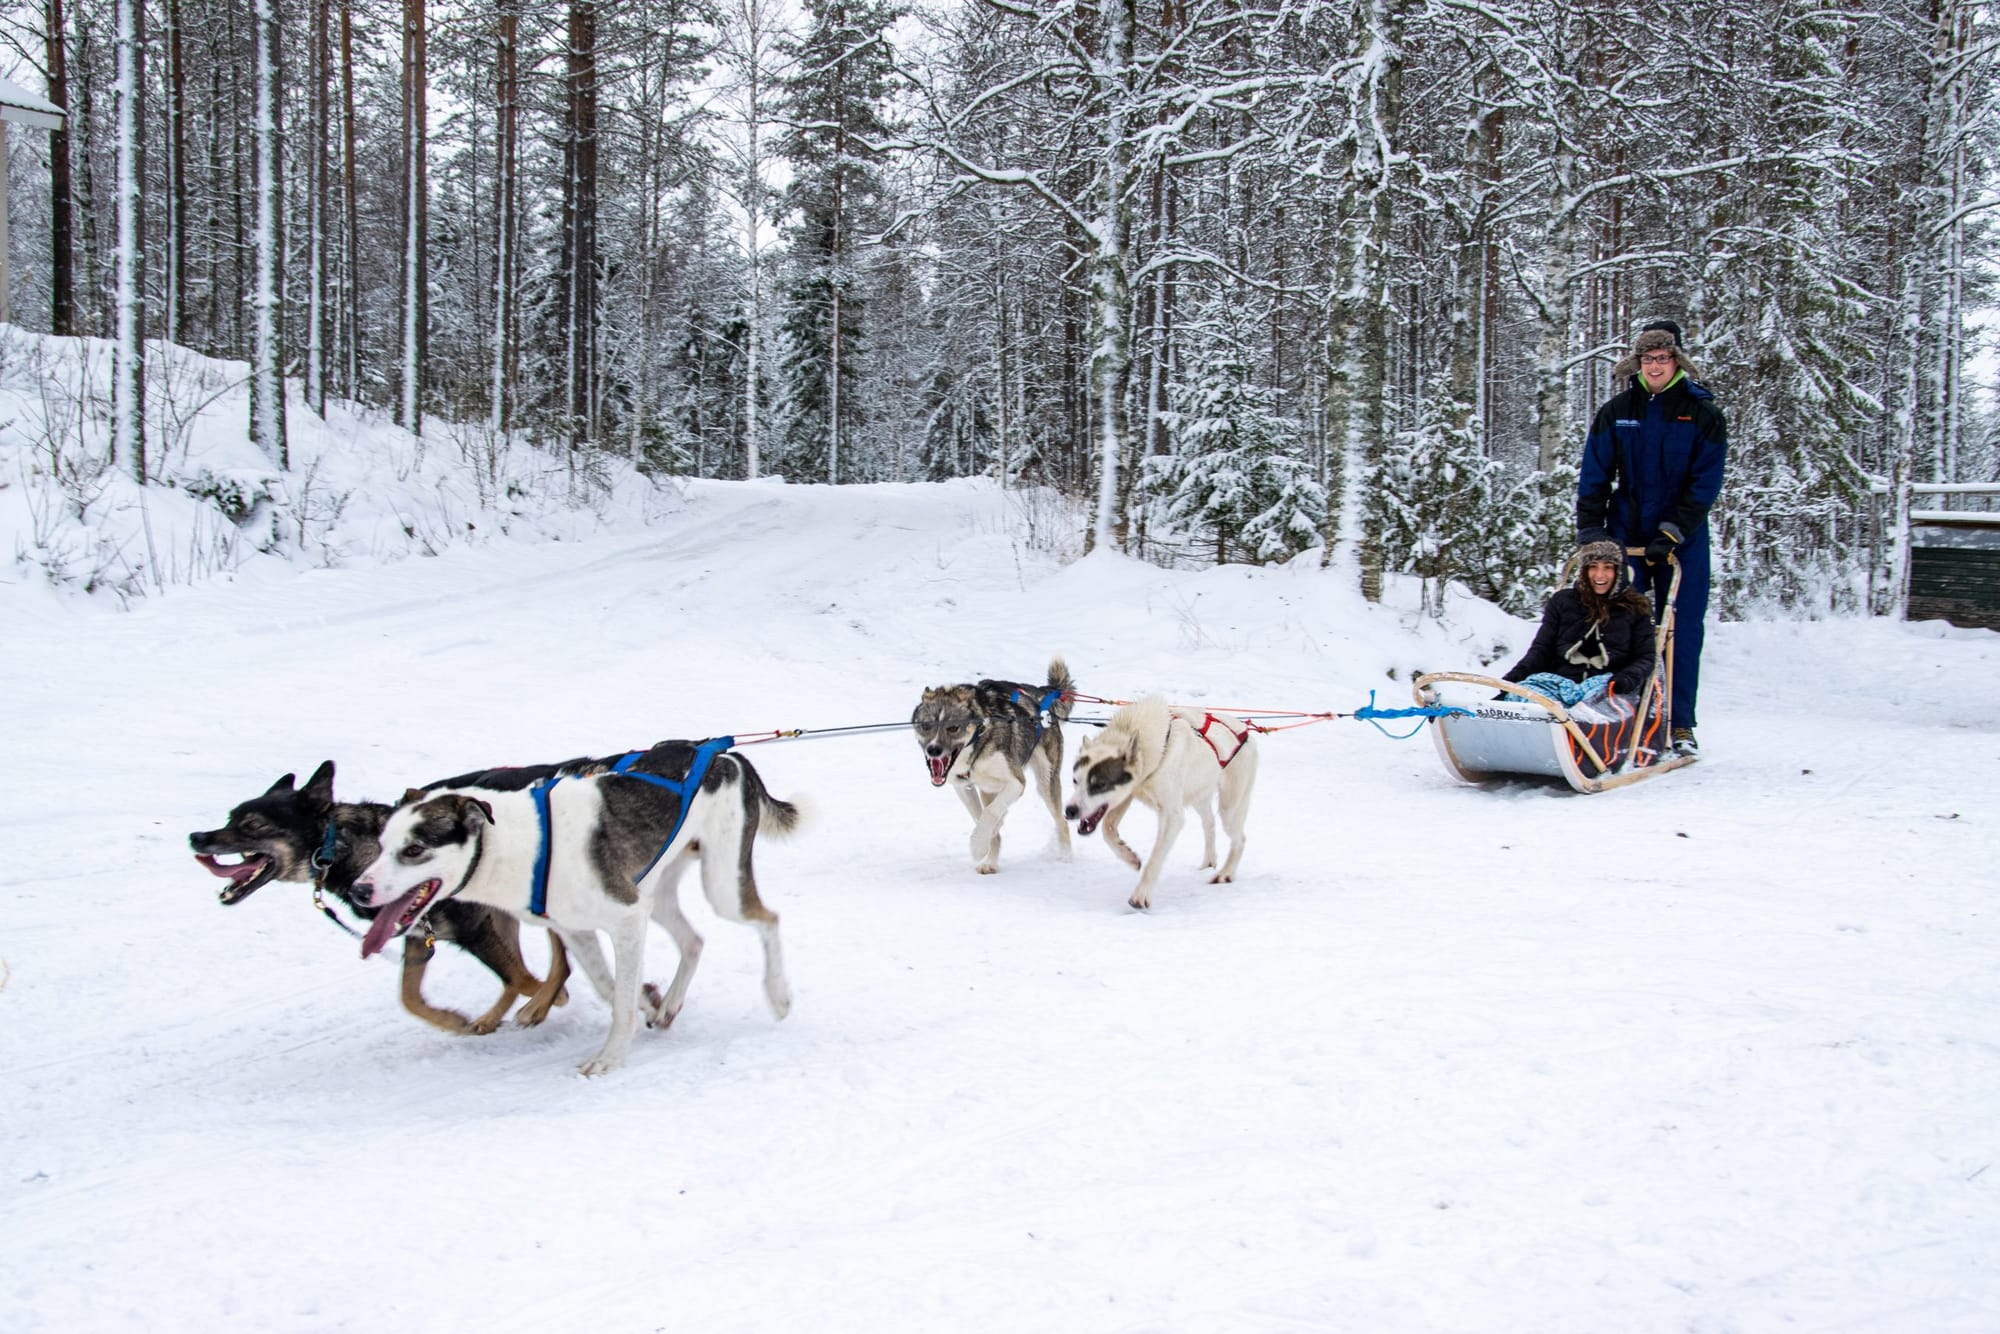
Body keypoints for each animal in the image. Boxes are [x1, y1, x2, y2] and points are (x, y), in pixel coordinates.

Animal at [188, 760, 576, 1032]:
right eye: (230, 817)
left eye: (253, 824)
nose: (197, 837)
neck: (348, 849)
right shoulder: (418, 933)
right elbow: (410, 997)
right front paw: (452, 1021)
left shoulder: (473, 928)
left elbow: (521, 977)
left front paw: (548, 998)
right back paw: (499, 1015)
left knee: (552, 960)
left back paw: (539, 1003)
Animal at [352, 748, 796, 1080]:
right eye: (381, 844)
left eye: (414, 849)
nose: (359, 889)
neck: (521, 845)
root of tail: (724, 755)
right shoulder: (577, 929)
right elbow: (608, 986)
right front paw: (648, 1002)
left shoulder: (627, 918)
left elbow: (619, 1001)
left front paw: (610, 1058)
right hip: (657, 892)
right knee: (694, 940)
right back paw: (669, 1005)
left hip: (720, 887)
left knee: (769, 919)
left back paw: (779, 996)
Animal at [916, 660, 1080, 876]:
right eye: (926, 726)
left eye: (953, 728)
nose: (933, 749)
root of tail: (1040, 695)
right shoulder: (963, 786)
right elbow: (981, 816)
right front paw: (987, 838)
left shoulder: (1016, 782)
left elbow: (991, 813)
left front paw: (978, 845)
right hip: (989, 788)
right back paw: (991, 861)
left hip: (1046, 782)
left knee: (1061, 822)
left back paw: (1066, 857)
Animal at [1072, 700, 1256, 908]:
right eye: (1075, 780)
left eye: (1099, 784)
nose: (1069, 811)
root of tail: (1245, 733)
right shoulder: (1128, 794)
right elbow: (1107, 829)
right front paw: (1129, 856)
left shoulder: (1171, 816)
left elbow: (1155, 858)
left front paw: (1141, 895)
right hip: (1198, 795)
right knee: (1209, 823)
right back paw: (1209, 861)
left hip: (1229, 808)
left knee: (1239, 839)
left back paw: (1226, 873)